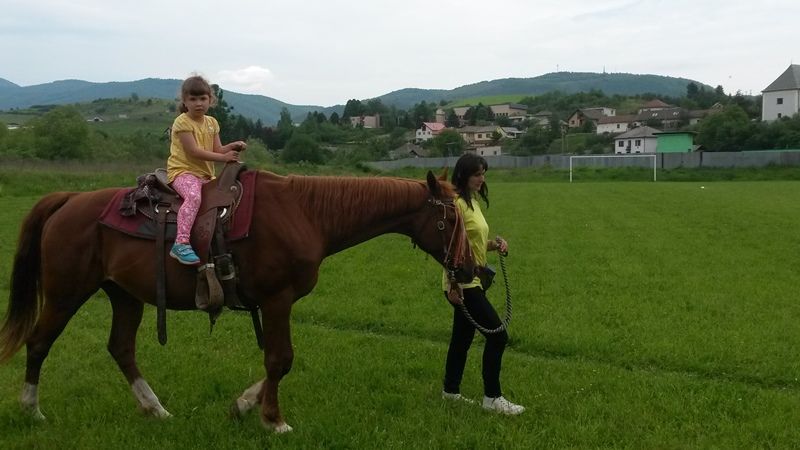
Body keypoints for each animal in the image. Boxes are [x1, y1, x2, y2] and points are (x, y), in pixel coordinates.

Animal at [0, 169, 475, 433]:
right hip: (65, 294)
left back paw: (156, 410)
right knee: (38, 343)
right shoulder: (278, 300)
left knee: (121, 348)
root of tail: (69, 200)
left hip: (125, 296)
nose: (472, 269)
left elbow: (276, 362)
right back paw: (32, 411)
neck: (305, 213)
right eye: (451, 219)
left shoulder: (274, 303)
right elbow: (280, 360)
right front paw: (274, 420)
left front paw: (244, 405)